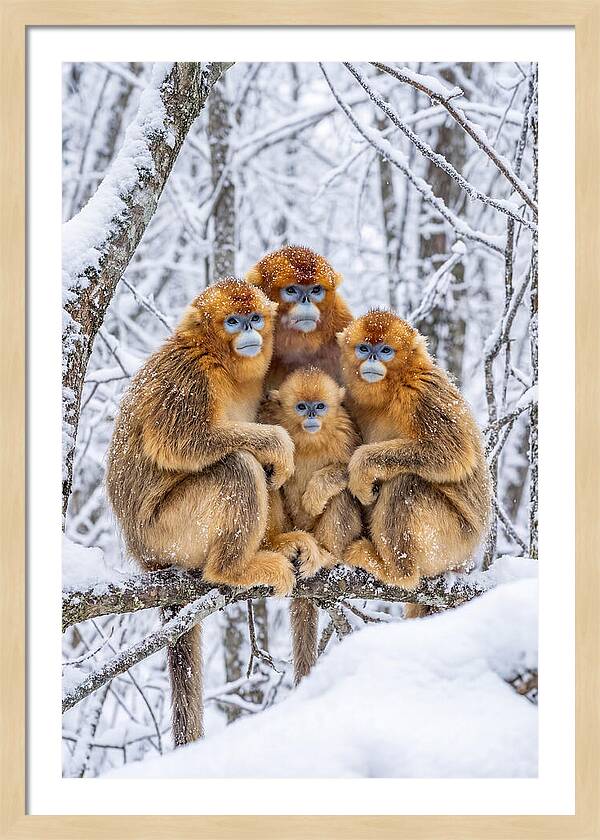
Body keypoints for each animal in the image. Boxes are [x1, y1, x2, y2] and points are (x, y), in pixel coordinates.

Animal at [105, 278, 300, 746]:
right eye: (233, 320)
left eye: (254, 318)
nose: (249, 331)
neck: (222, 363)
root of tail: (144, 555)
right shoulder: (189, 375)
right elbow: (182, 443)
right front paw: (277, 442)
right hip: (169, 533)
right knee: (238, 466)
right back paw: (234, 569)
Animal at [263, 367, 363, 683]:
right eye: (300, 406)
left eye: (319, 406)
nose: (311, 416)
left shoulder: (346, 431)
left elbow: (355, 473)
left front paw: (316, 493)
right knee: (268, 479)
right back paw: (279, 544)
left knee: (343, 495)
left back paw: (327, 555)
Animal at [337, 310, 491, 617]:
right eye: (364, 348)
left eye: (385, 350)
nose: (373, 358)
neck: (393, 388)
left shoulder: (421, 391)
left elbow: (453, 454)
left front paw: (362, 467)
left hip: (453, 541)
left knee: (406, 483)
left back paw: (396, 572)